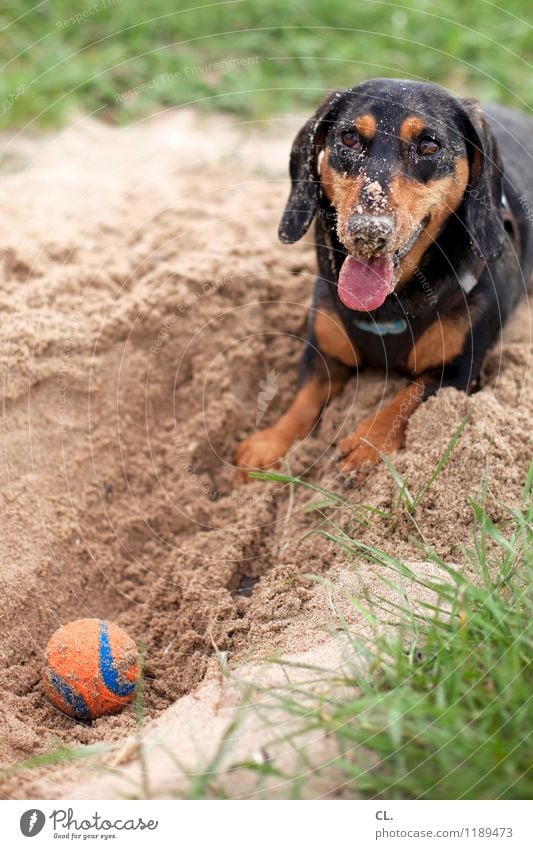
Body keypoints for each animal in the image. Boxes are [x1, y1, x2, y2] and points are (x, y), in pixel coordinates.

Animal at [237, 78, 532, 480]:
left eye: (429, 145)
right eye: (348, 138)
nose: (367, 230)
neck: (389, 306)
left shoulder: (459, 372)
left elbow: (406, 398)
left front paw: (366, 443)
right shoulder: (324, 353)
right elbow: (303, 399)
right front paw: (269, 442)